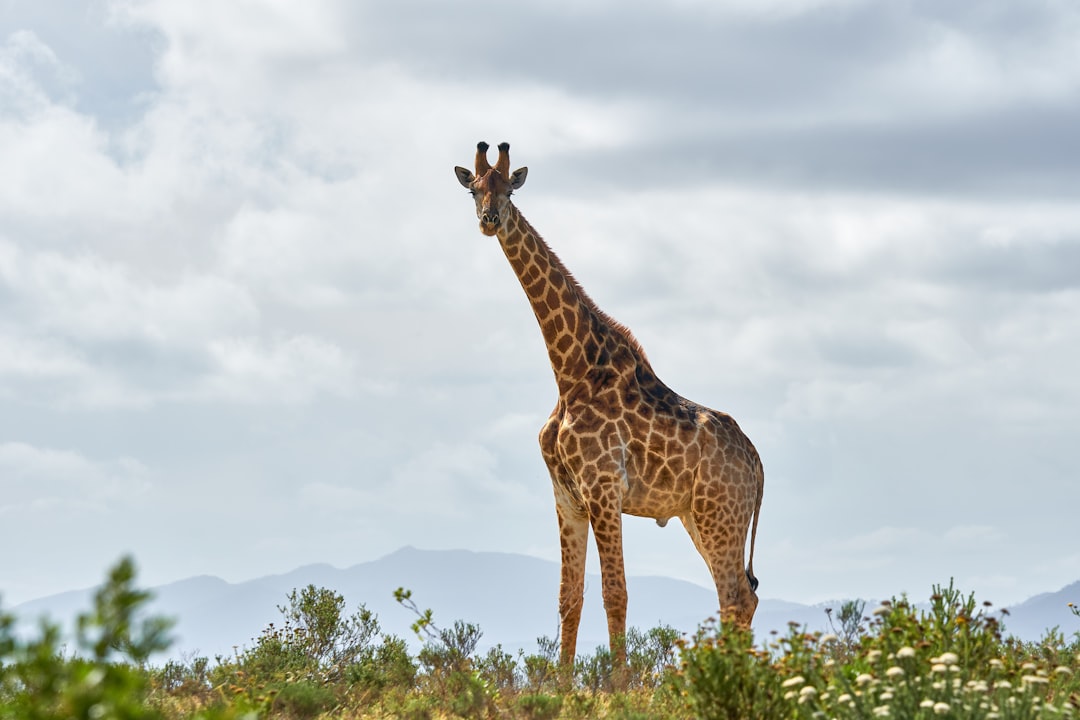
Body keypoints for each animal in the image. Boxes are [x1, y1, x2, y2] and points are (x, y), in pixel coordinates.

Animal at [451, 142, 764, 669]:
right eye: (474, 189)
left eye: (509, 189)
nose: (490, 220)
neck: (569, 371)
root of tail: (759, 465)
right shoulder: (566, 497)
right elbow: (568, 598)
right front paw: (561, 685)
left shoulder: (603, 488)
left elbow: (614, 593)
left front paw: (620, 685)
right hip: (700, 517)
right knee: (745, 596)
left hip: (720, 514)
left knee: (734, 597)